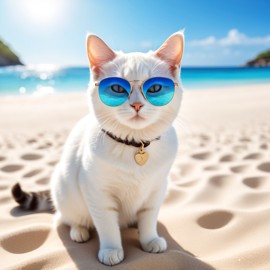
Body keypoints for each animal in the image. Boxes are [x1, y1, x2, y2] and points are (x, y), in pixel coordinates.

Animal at [11, 31, 184, 266]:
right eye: (117, 88)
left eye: (155, 88)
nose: (137, 105)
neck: (135, 145)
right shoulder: (98, 194)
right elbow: (108, 226)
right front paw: (111, 250)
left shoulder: (156, 190)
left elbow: (148, 218)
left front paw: (149, 239)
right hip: (64, 190)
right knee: (63, 218)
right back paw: (79, 231)